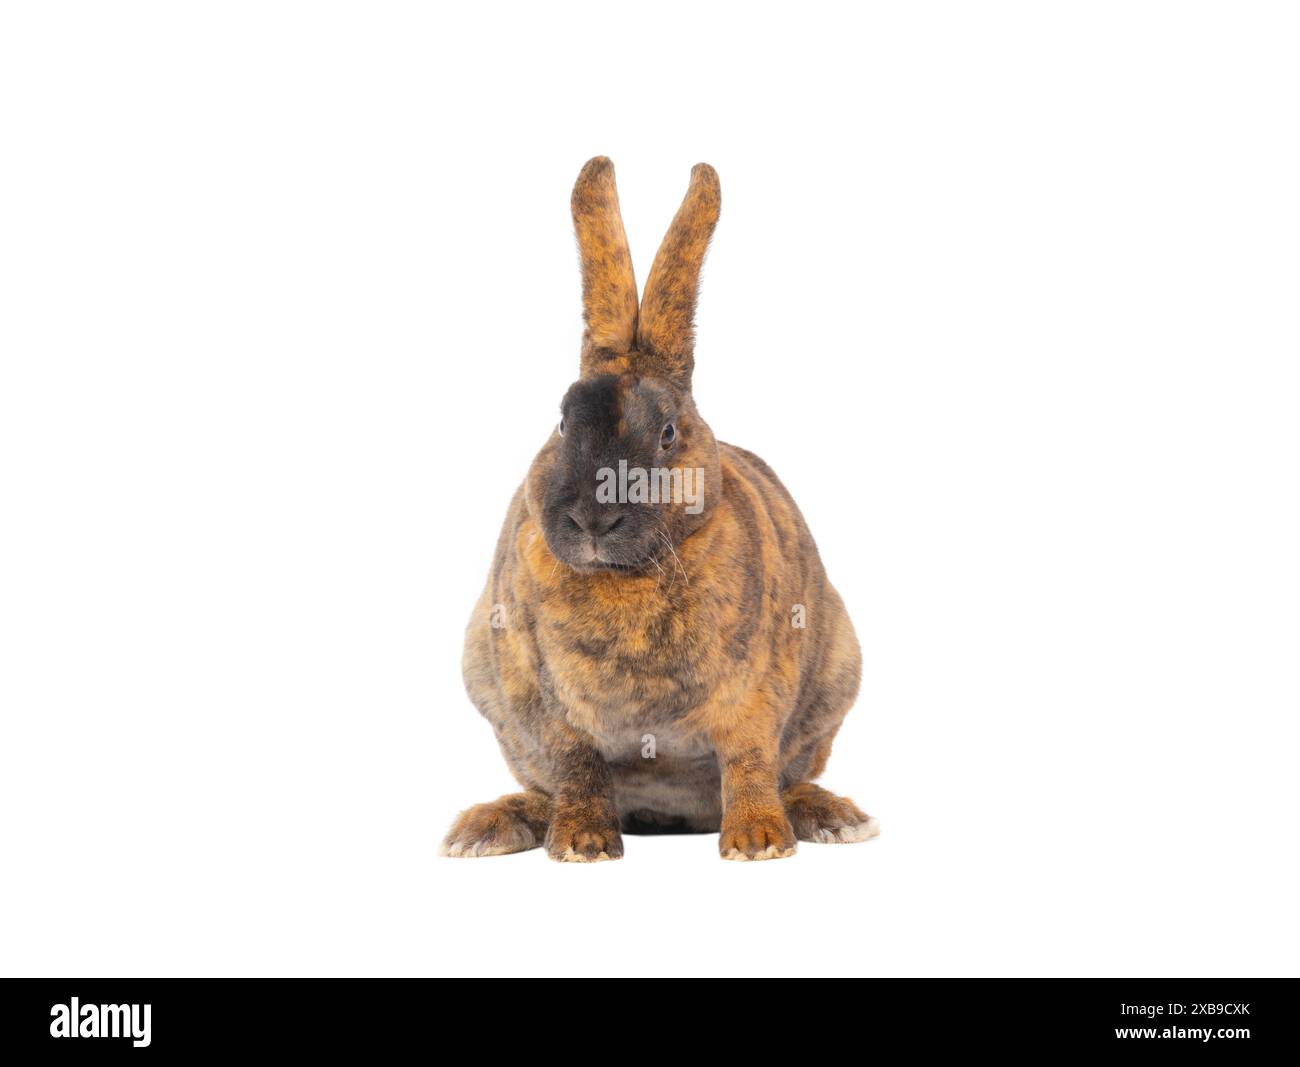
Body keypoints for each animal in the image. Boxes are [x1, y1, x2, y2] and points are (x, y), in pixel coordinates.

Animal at [442, 157, 878, 861]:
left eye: (669, 433)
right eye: (561, 422)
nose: (593, 521)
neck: (628, 576)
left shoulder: (757, 694)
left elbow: (749, 761)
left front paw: (759, 843)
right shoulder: (548, 706)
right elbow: (577, 768)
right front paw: (583, 846)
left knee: (788, 777)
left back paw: (833, 819)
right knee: (543, 787)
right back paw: (486, 829)